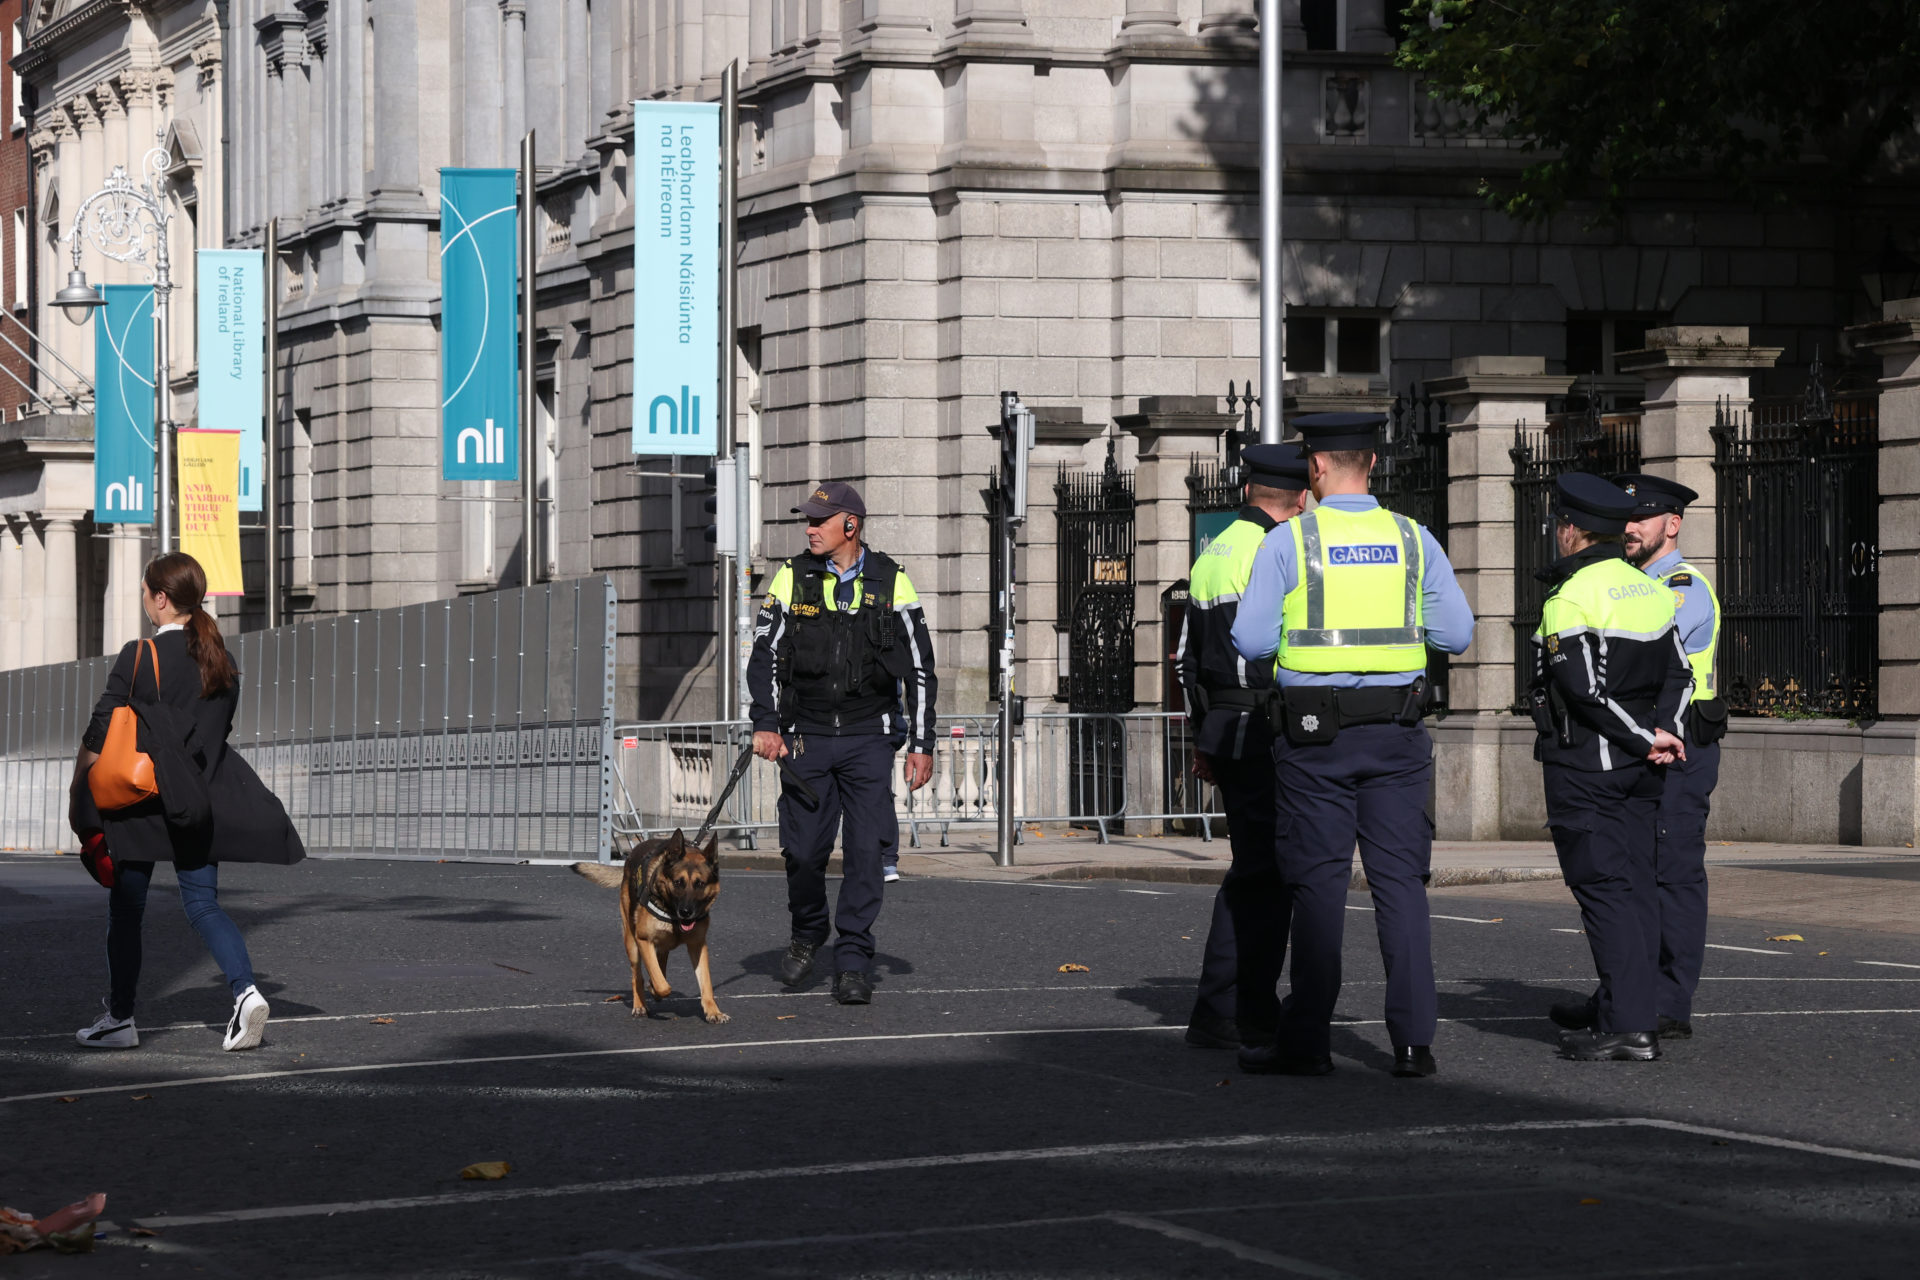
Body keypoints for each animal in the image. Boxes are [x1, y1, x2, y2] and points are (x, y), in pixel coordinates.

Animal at [572, 832, 729, 1028]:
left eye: (700, 884)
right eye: (678, 882)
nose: (686, 912)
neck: (673, 915)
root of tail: (631, 854)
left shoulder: (697, 946)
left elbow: (705, 982)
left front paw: (713, 1011)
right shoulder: (644, 940)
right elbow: (662, 985)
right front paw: (654, 989)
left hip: (660, 947)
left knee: (660, 966)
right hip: (632, 943)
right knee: (637, 976)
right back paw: (640, 1004)